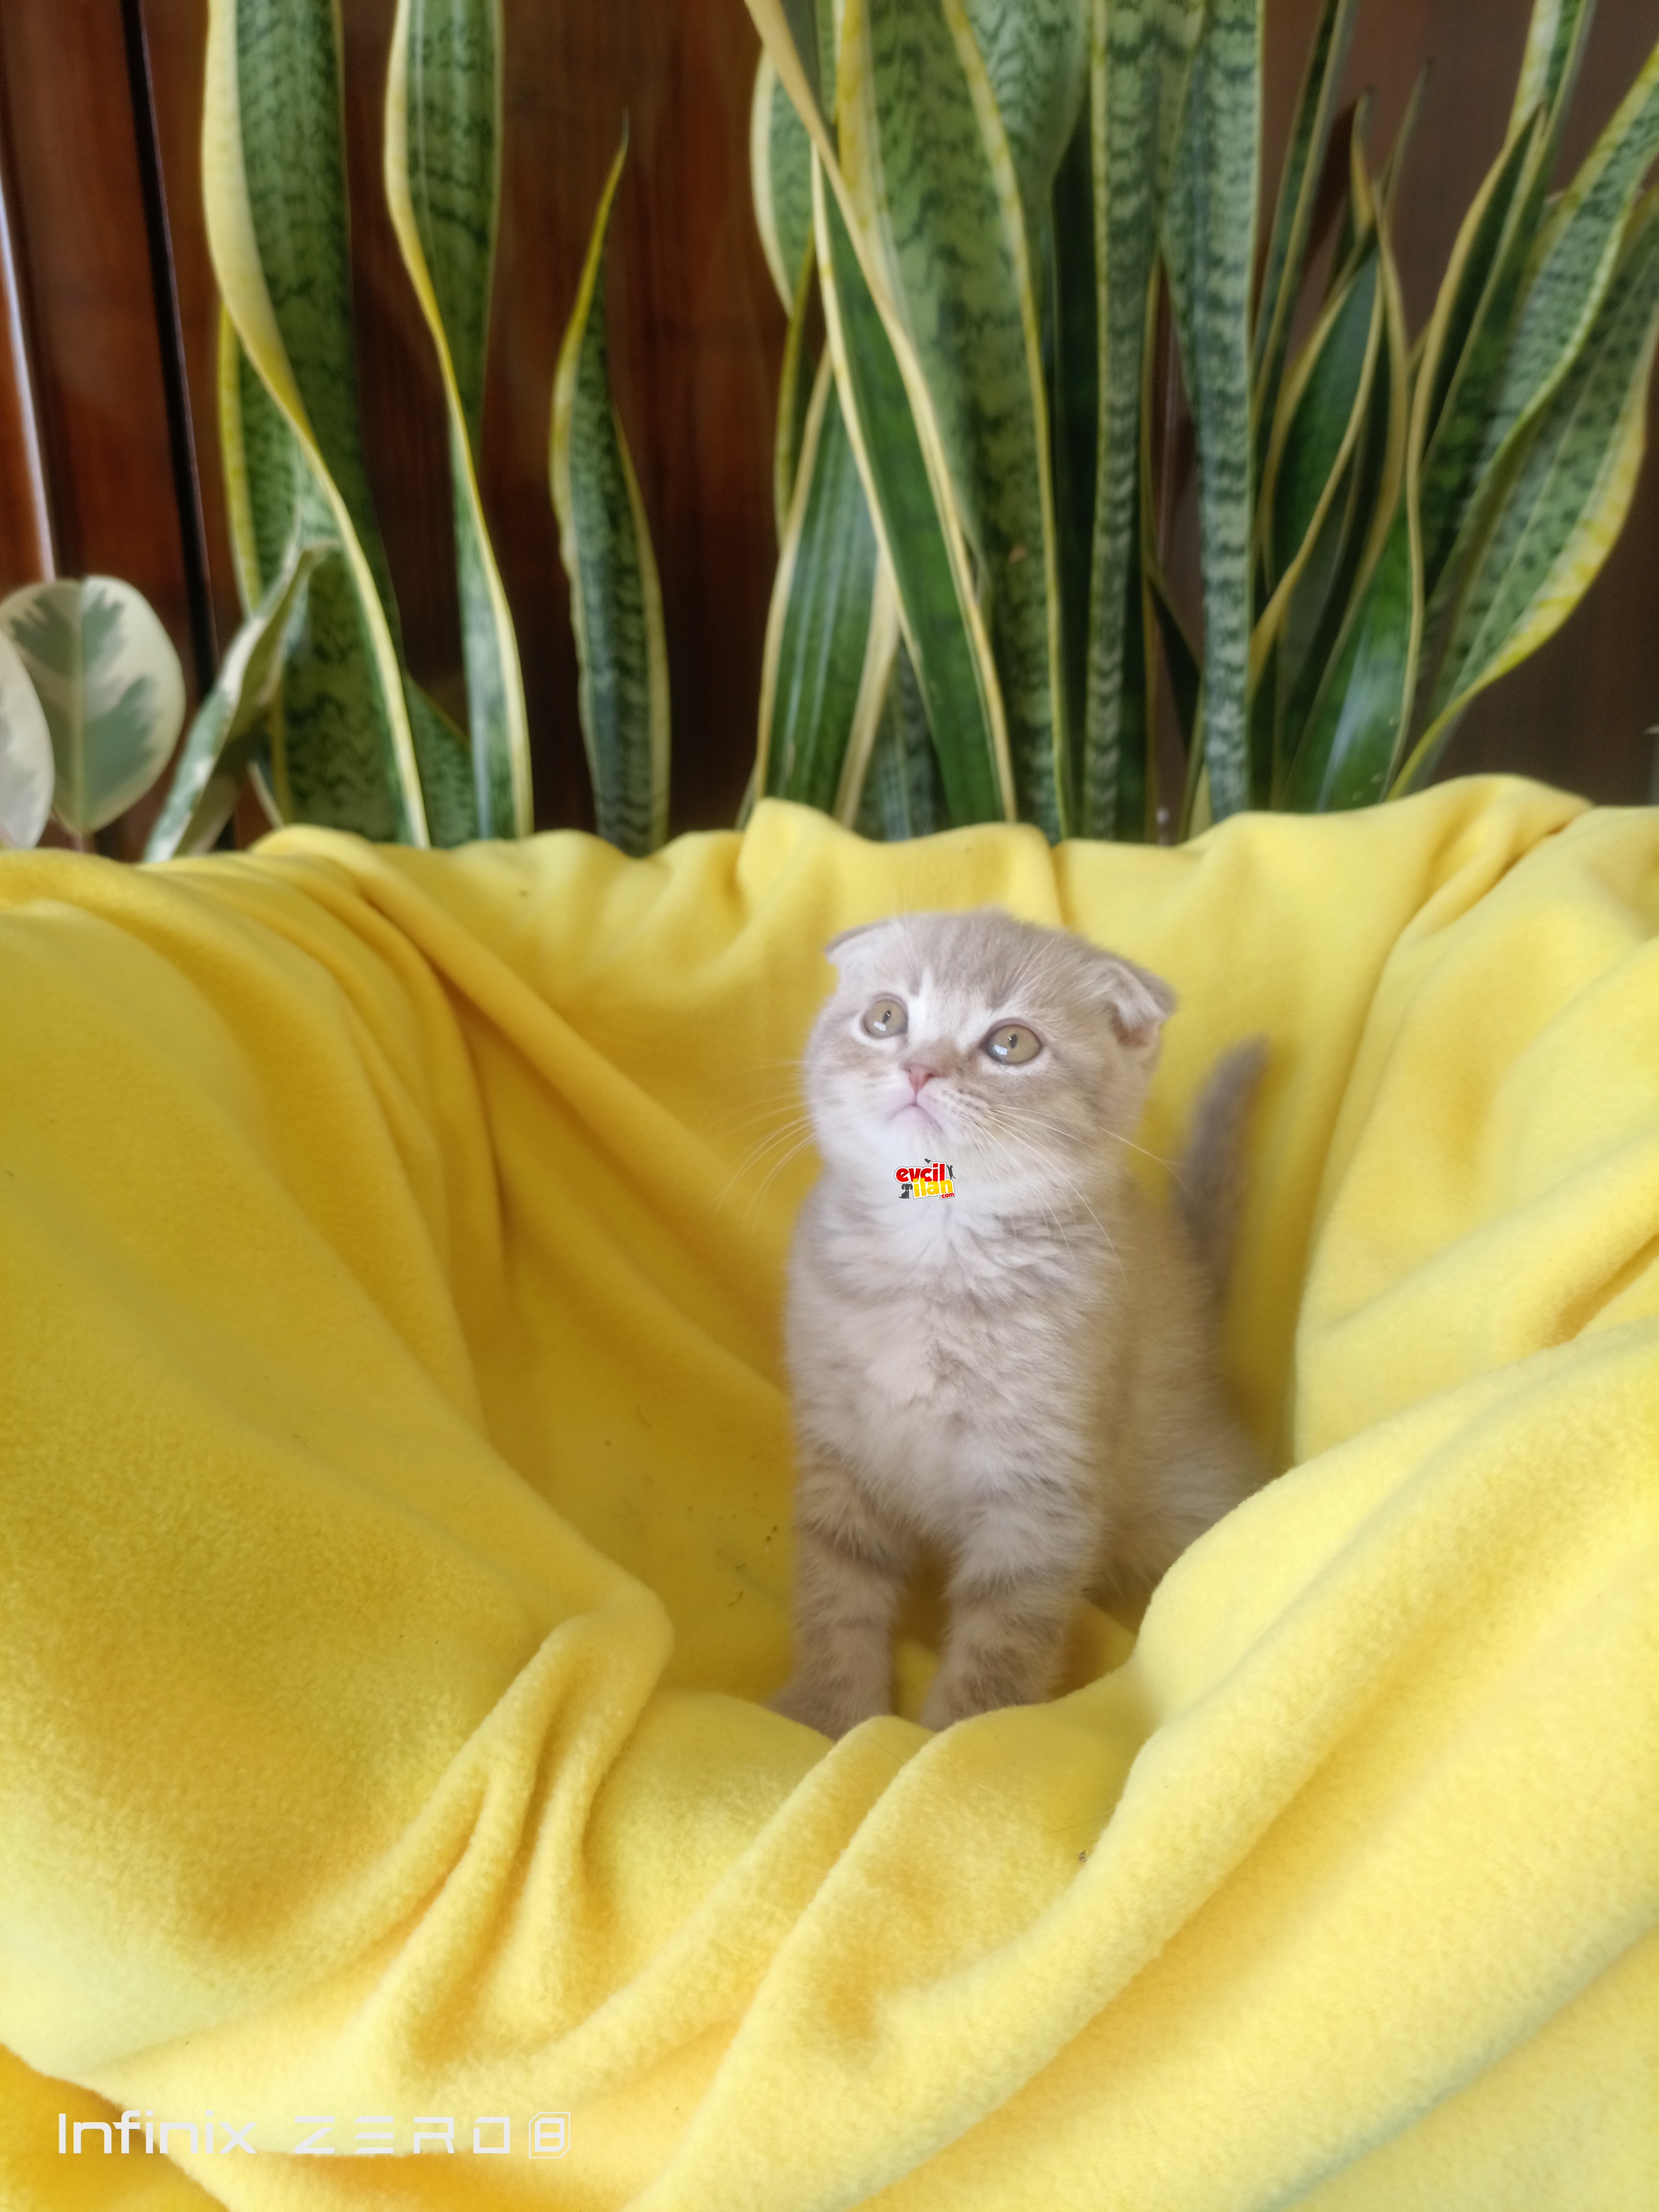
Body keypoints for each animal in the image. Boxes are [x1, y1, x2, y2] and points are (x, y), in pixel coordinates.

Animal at [774, 907, 1265, 1734]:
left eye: (1011, 1044)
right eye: (886, 1019)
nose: (921, 1069)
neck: (936, 1258)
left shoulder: (1042, 1488)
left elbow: (1003, 1636)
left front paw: (948, 1738)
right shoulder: (840, 1446)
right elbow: (836, 1588)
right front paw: (828, 1714)